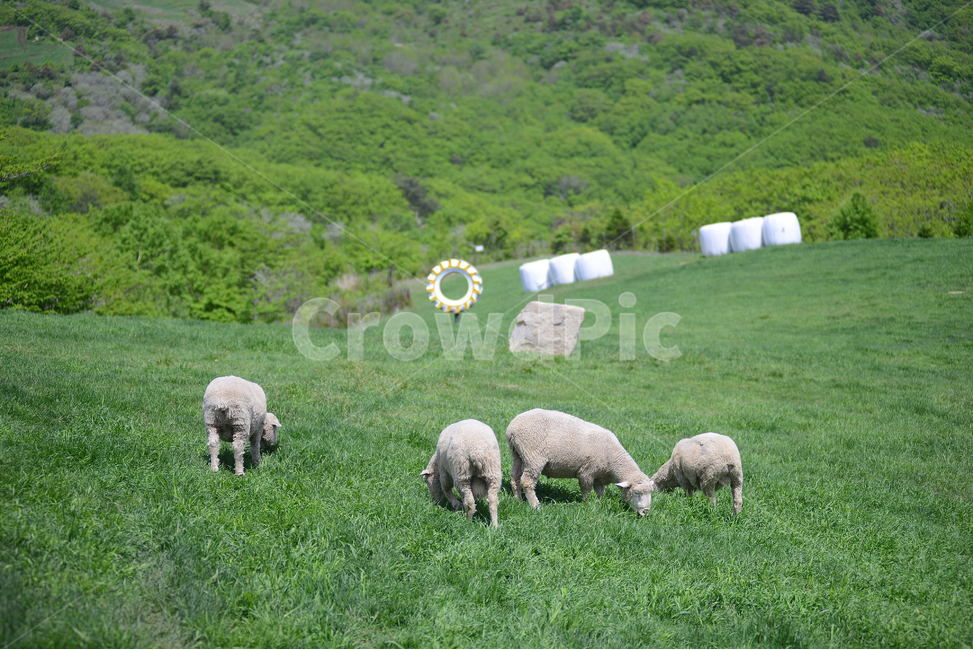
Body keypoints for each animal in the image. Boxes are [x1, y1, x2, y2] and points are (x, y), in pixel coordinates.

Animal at [506, 408, 653, 515]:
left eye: (651, 493)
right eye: (636, 493)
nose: (645, 512)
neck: (613, 461)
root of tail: (512, 428)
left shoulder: (599, 477)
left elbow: (600, 493)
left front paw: (599, 503)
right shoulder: (586, 472)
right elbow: (586, 491)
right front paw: (588, 505)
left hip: (518, 454)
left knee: (514, 477)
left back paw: (518, 500)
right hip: (533, 456)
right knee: (527, 481)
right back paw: (535, 506)